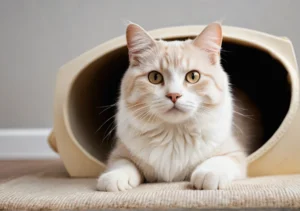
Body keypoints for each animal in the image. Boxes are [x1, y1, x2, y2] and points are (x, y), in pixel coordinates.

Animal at [96, 22, 262, 191]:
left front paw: (209, 174)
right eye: (154, 77)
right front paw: (114, 177)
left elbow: (219, 160)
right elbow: (123, 163)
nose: (174, 95)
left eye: (193, 76)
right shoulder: (120, 152)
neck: (174, 135)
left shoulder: (234, 152)